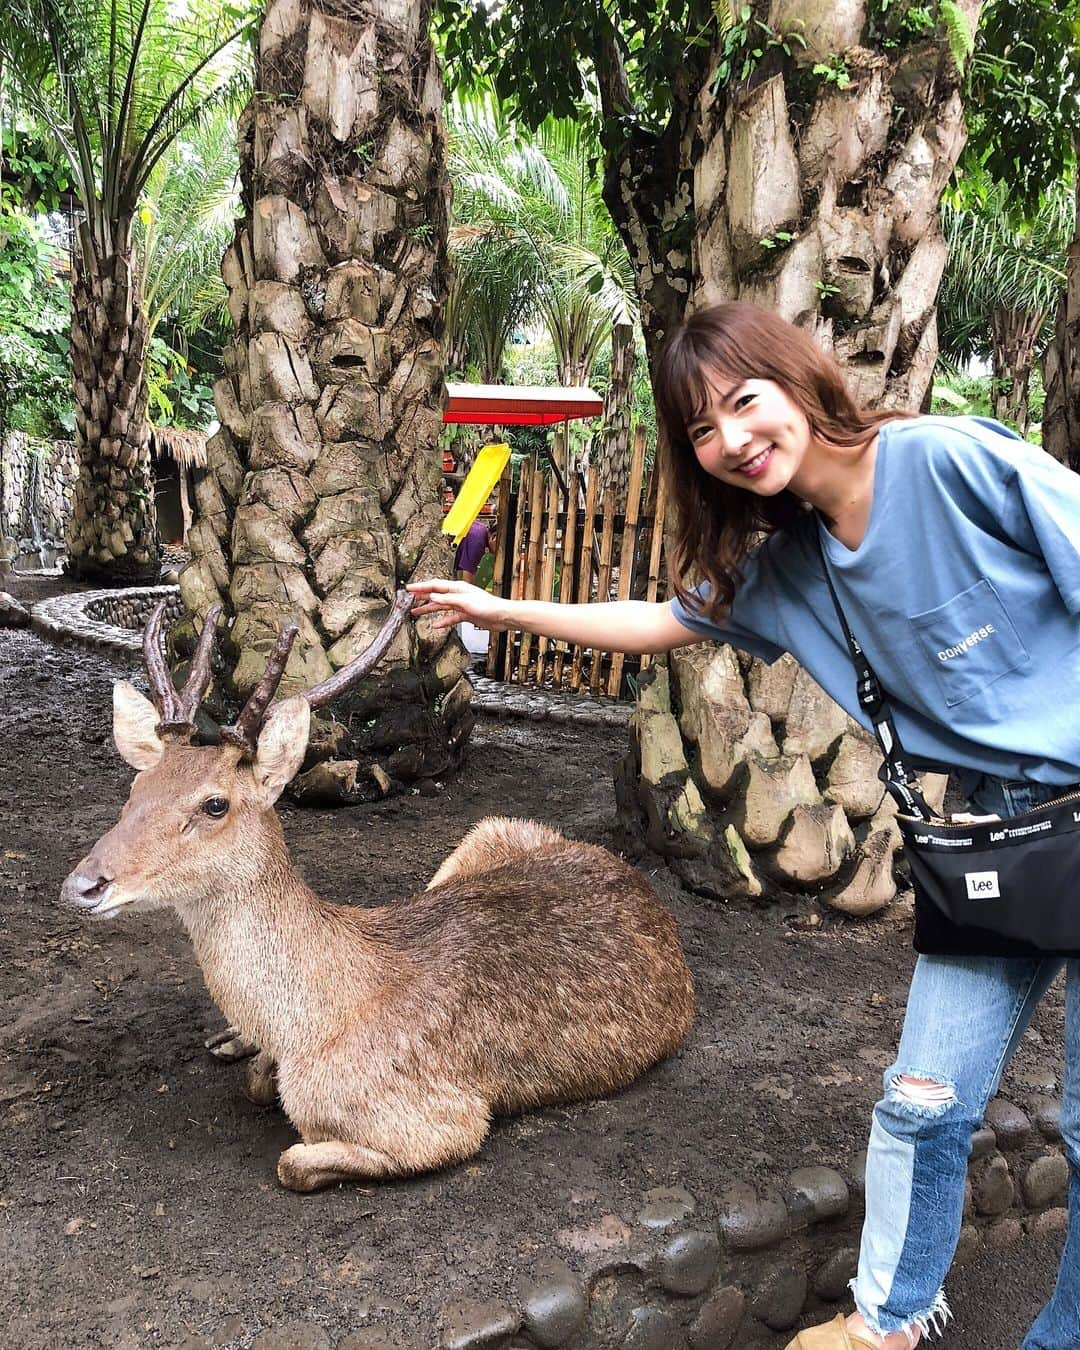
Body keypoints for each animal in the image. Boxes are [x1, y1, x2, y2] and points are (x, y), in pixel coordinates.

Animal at [61, 596, 702, 1188]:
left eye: (214, 803)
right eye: (136, 786)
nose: (83, 884)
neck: (307, 1025)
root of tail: (634, 877)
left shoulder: (445, 1120)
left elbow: (290, 1160)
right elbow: (257, 1083)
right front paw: (245, 1050)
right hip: (480, 837)